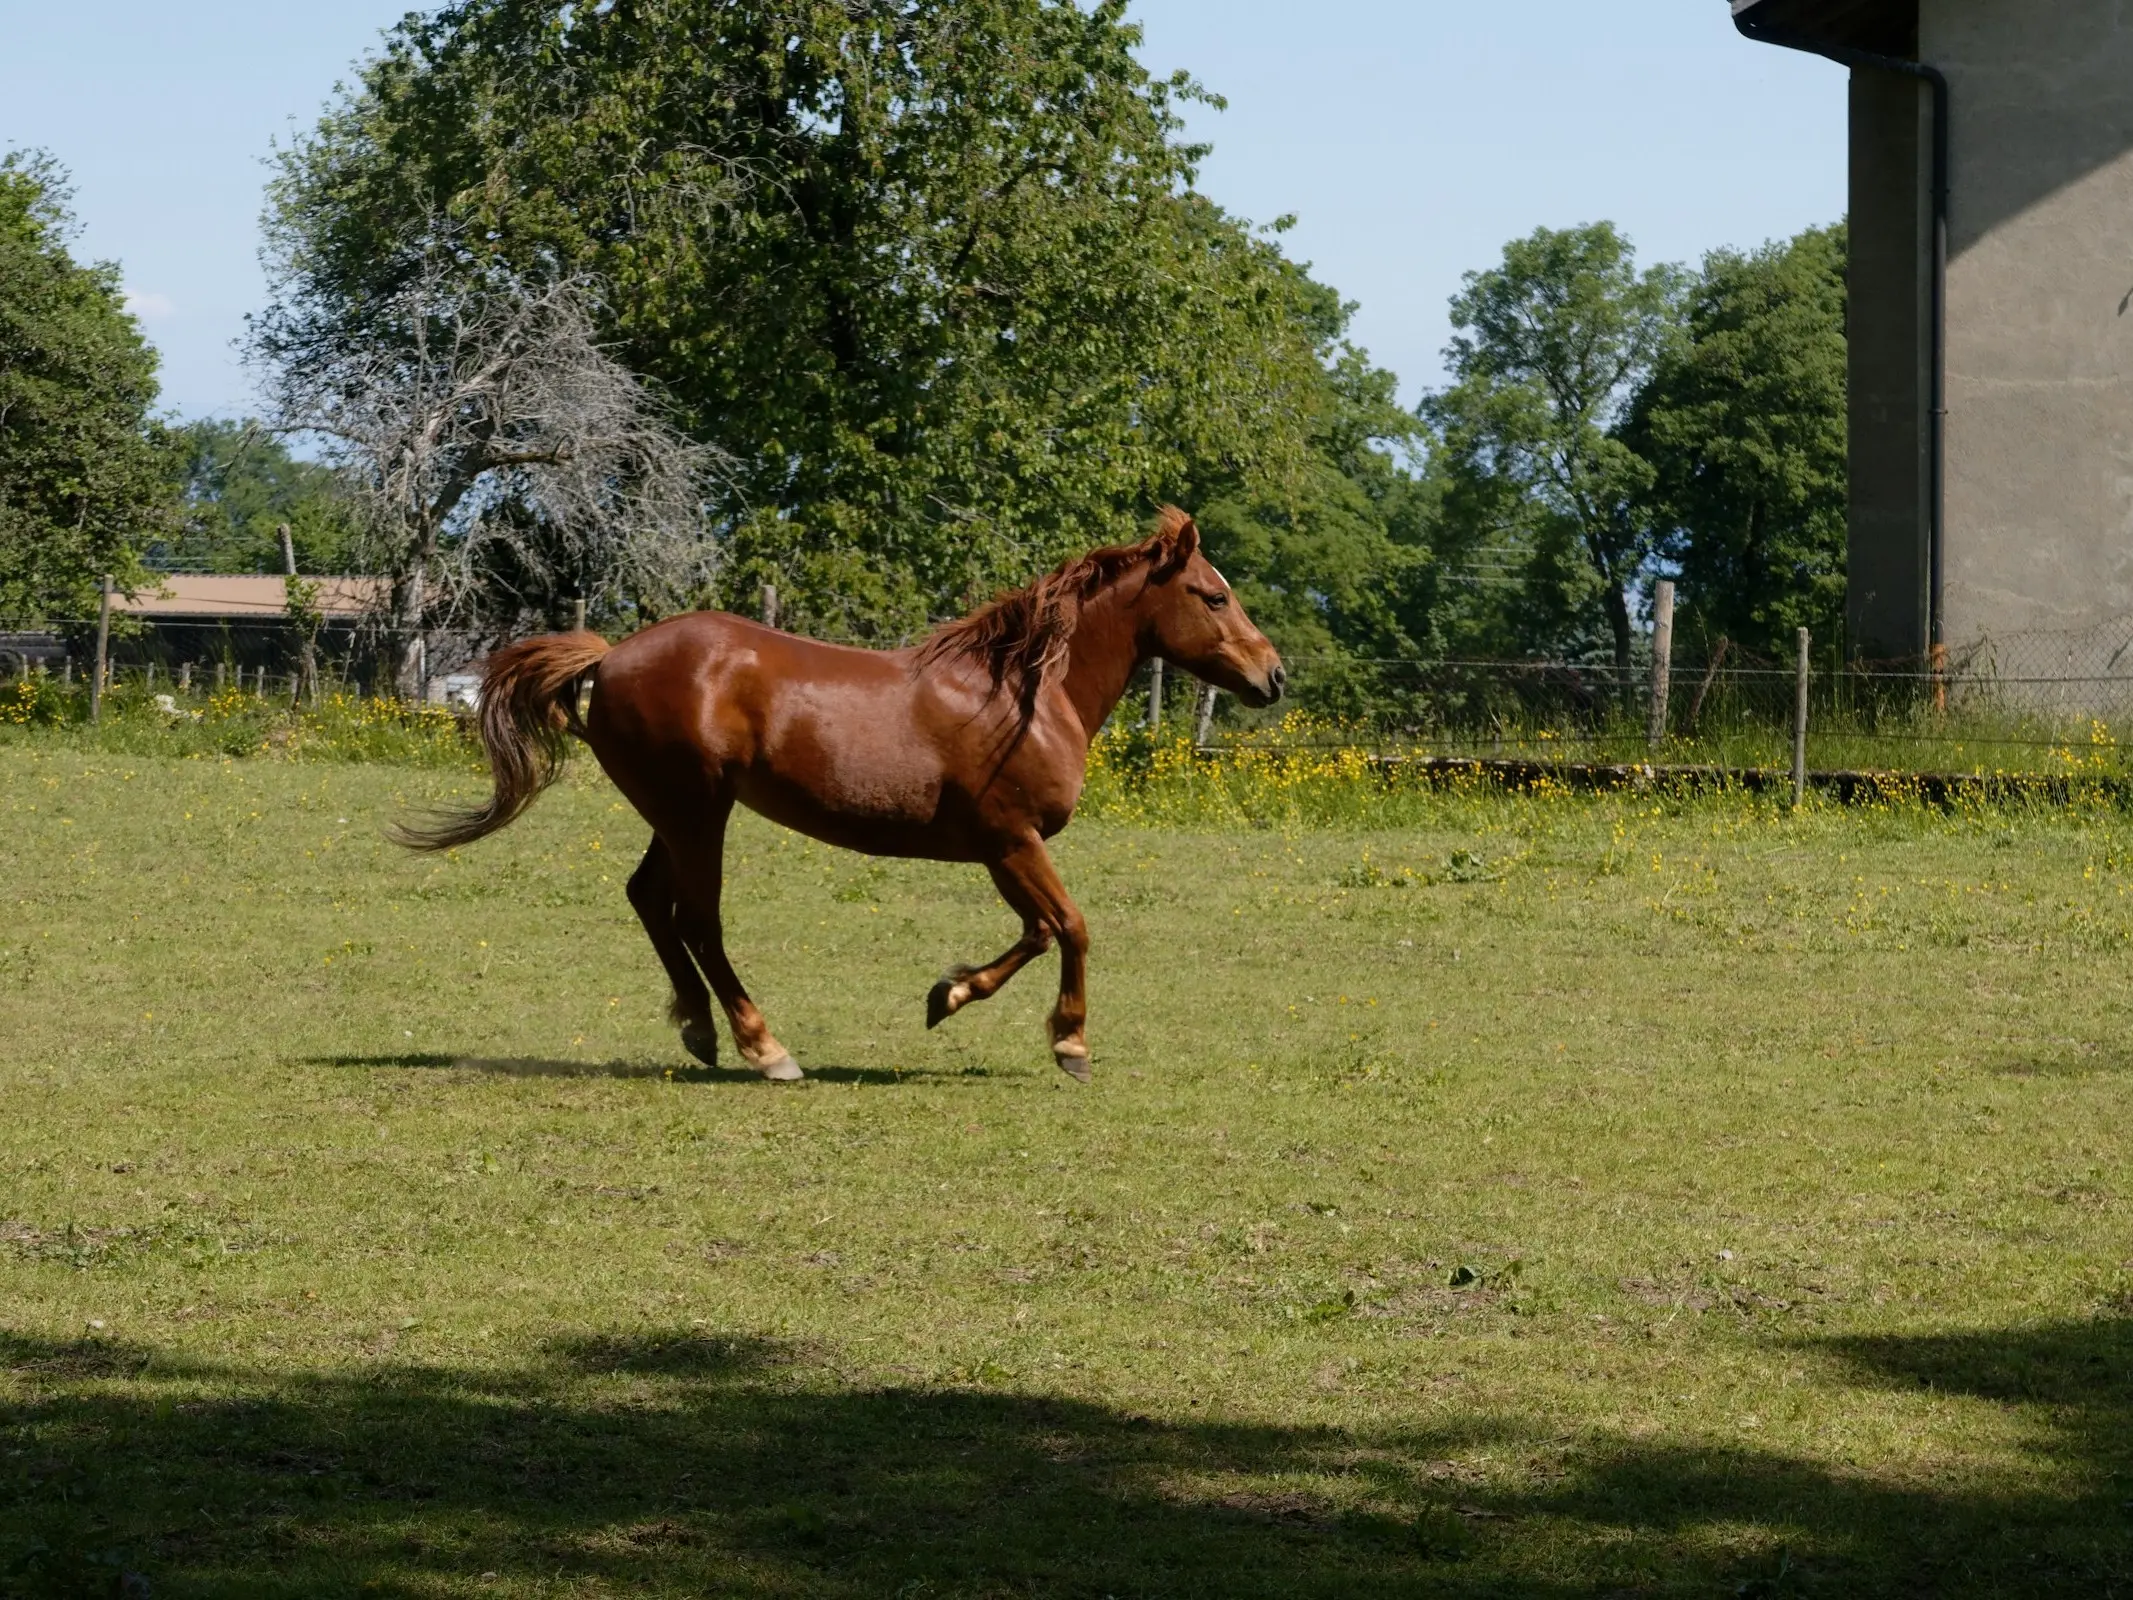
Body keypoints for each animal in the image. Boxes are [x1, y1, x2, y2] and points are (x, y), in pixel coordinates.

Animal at [398, 509, 1279, 1092]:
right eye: (1211, 595)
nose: (1271, 676)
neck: (1025, 696)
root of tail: (609, 656)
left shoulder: (1001, 849)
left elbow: (1035, 932)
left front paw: (947, 995)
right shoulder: (1011, 840)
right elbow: (1070, 927)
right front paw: (1069, 1044)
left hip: (676, 814)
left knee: (649, 900)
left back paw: (699, 1028)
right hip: (697, 812)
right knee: (697, 918)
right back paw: (764, 1049)